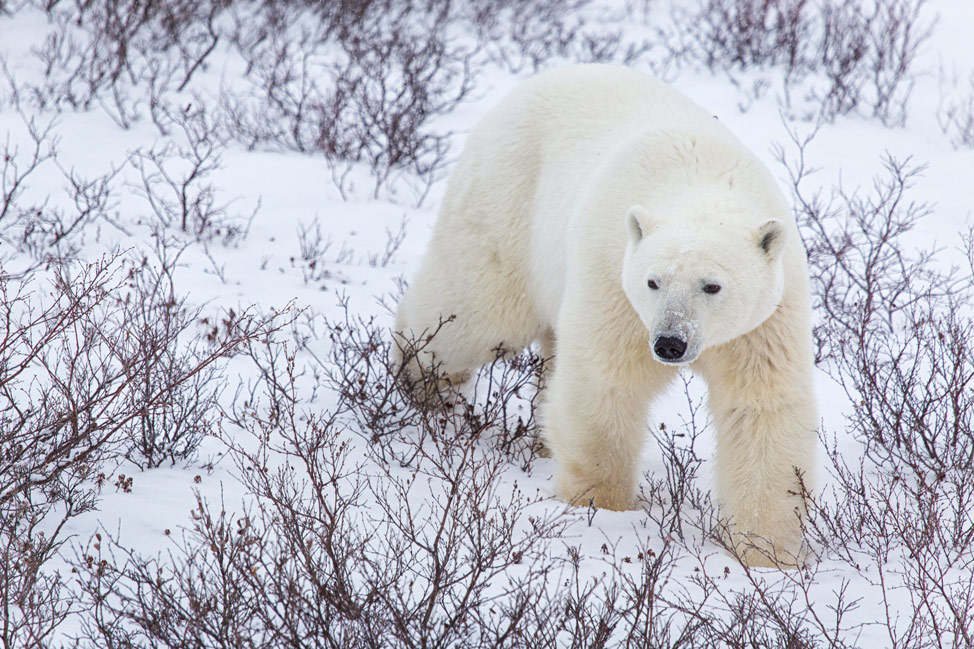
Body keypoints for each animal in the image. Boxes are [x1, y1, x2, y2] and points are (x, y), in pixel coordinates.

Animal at [392, 63, 820, 564]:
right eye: (653, 281)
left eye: (712, 285)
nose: (670, 343)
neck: (700, 179)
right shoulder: (614, 282)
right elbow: (605, 384)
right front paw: (600, 509)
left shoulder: (765, 320)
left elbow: (761, 408)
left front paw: (767, 552)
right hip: (508, 201)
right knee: (475, 308)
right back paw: (422, 385)